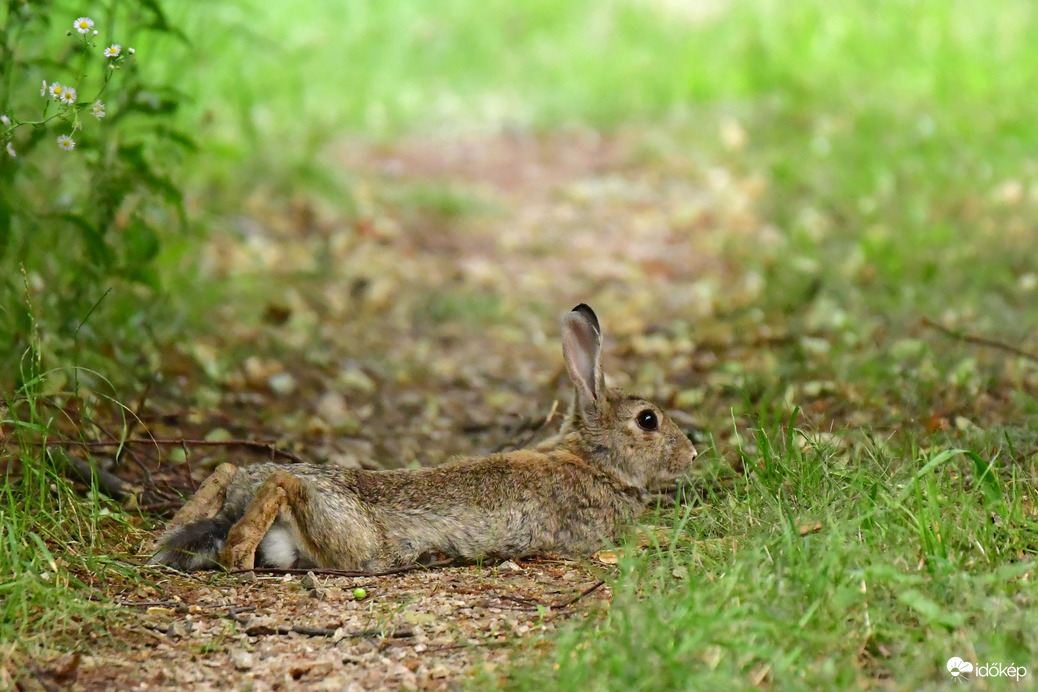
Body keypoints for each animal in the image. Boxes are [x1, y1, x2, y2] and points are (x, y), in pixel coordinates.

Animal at [146, 305, 697, 572]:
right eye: (648, 420)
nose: (692, 453)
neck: (595, 462)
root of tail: (232, 509)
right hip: (352, 539)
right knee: (284, 485)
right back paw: (236, 557)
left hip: (249, 491)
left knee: (226, 470)